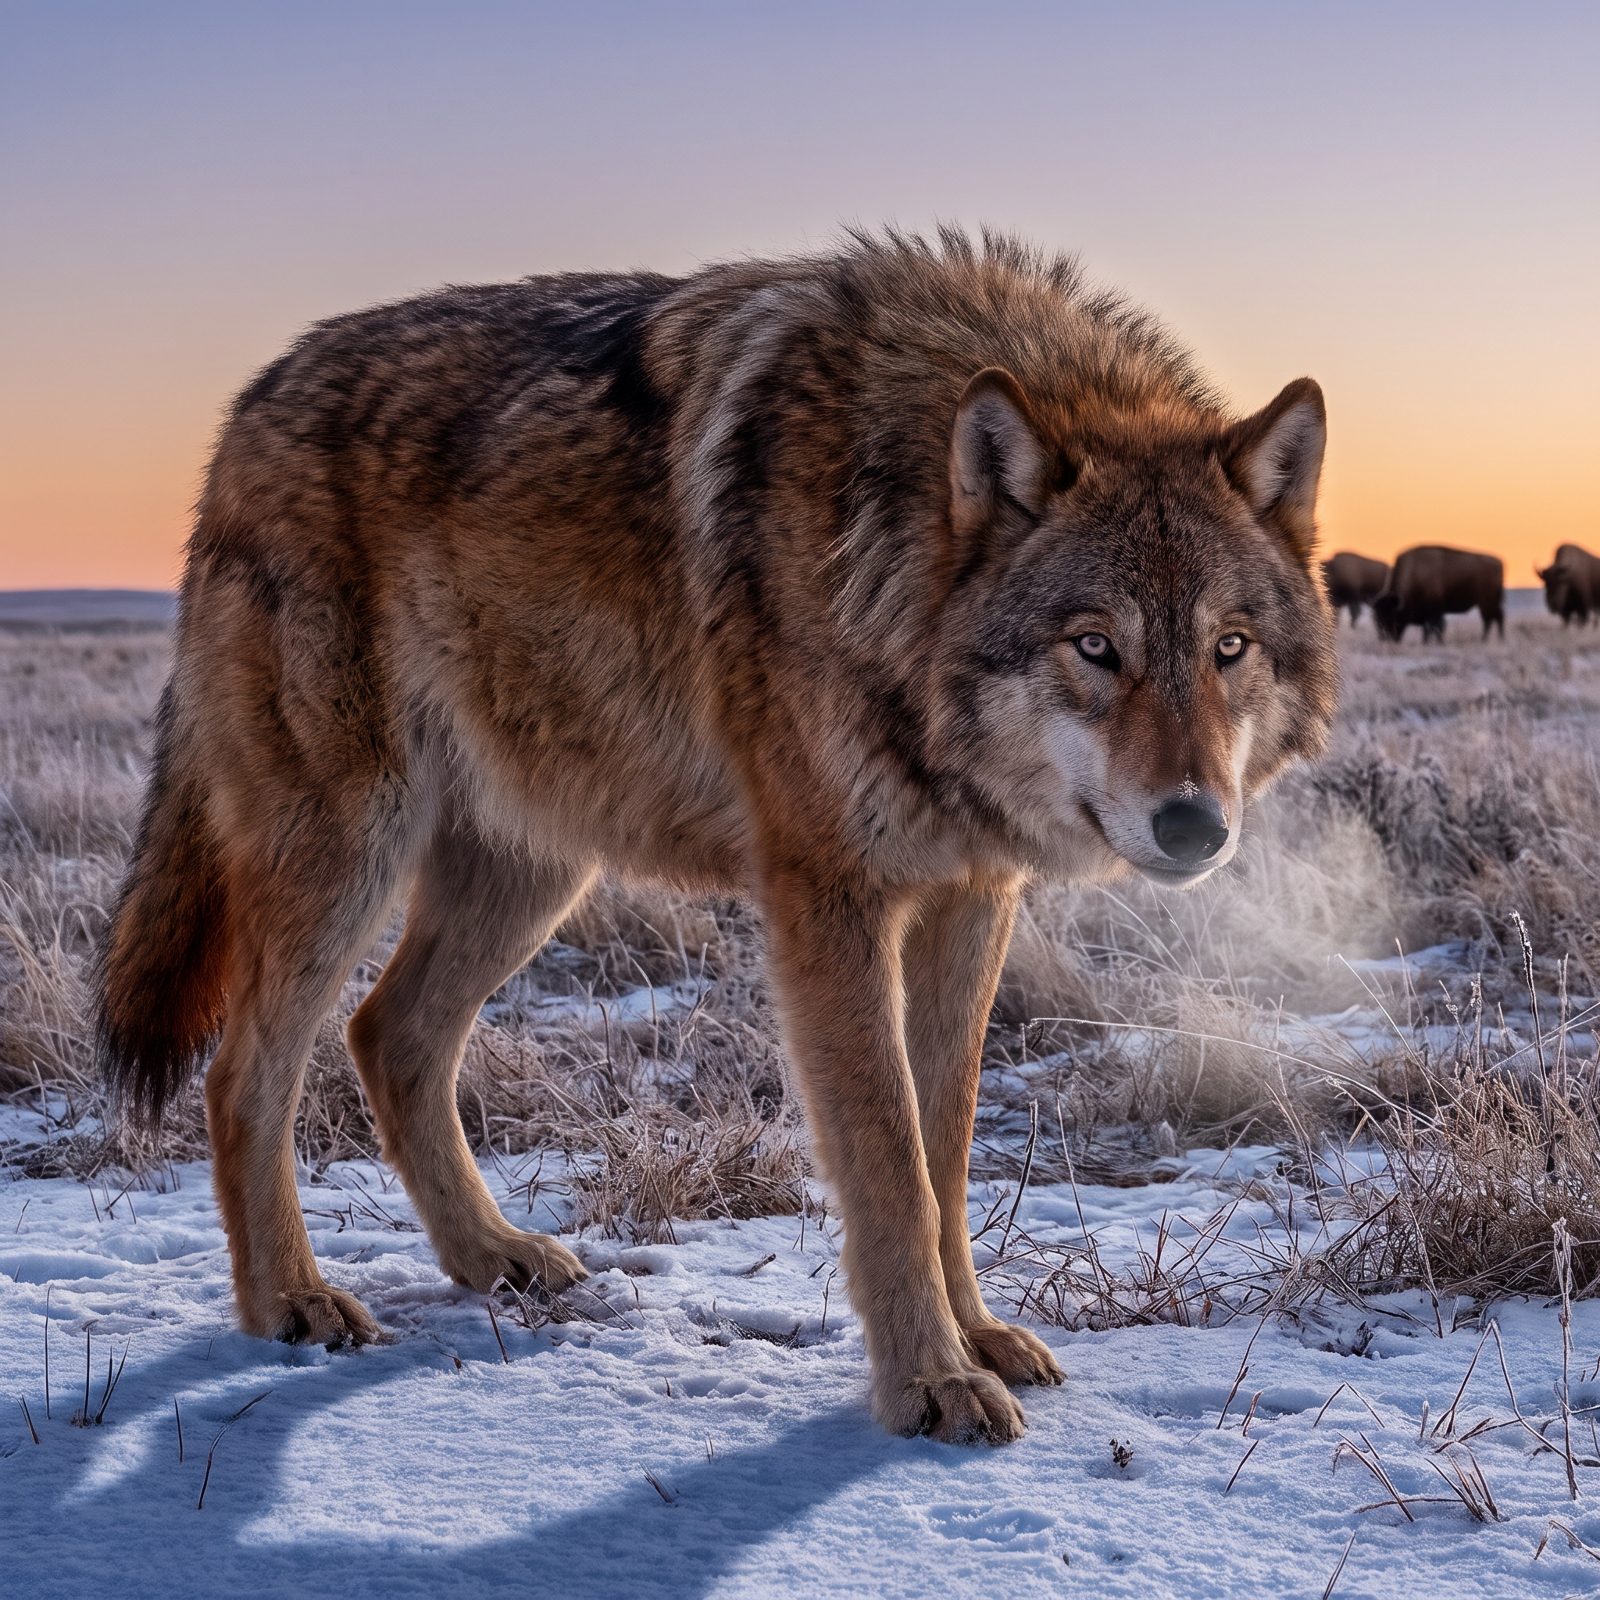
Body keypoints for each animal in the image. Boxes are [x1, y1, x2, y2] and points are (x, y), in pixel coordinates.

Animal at [97, 230, 1338, 1444]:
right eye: (1094, 646)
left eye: (1227, 647)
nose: (1194, 823)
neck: (885, 551)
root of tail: (249, 405)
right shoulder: (826, 897)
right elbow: (887, 1162)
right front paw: (927, 1382)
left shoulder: (971, 895)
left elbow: (944, 1149)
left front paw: (976, 1335)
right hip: (348, 859)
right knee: (246, 1072)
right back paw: (290, 1301)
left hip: (532, 874)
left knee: (387, 1036)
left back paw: (490, 1258)